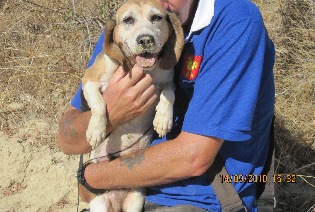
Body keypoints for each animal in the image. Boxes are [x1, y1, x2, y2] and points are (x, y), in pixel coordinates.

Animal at [80, 0, 185, 210]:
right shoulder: (89, 80)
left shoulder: (168, 81)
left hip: (135, 200)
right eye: (128, 20)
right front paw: (96, 130)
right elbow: (99, 103)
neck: (142, 69)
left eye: (157, 17)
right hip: (100, 204)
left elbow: (168, 94)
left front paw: (163, 118)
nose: (145, 40)